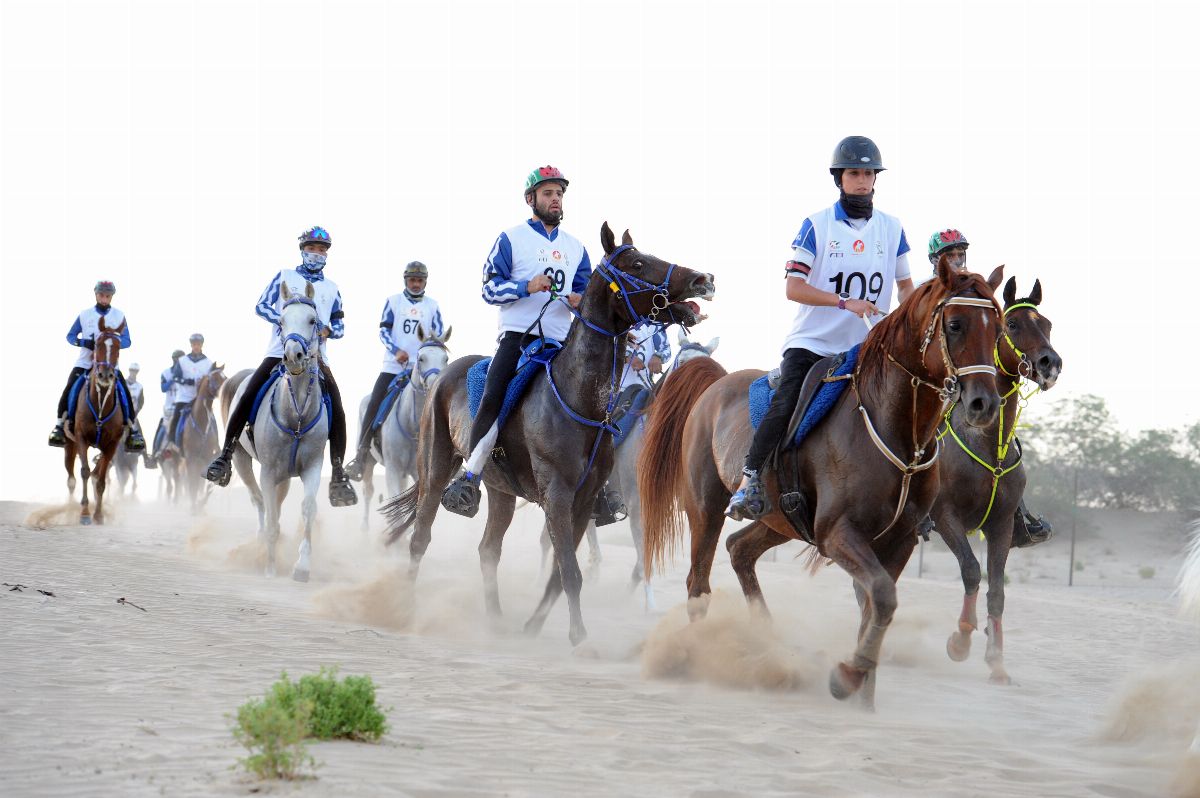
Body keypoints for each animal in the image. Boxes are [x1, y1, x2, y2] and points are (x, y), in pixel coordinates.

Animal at [63, 314, 126, 525]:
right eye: (97, 343)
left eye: (118, 346)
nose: (105, 374)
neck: (100, 406)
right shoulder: (81, 438)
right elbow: (84, 471)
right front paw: (84, 513)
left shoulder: (111, 445)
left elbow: (100, 479)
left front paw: (98, 514)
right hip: (70, 445)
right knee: (71, 478)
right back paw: (70, 509)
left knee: (96, 473)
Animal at [384, 220, 710, 643]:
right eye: (638, 263)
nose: (702, 279)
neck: (578, 399)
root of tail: (444, 375)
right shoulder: (556, 494)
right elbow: (570, 570)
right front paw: (580, 639)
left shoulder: (584, 500)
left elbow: (560, 573)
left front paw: (535, 625)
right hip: (435, 468)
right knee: (420, 537)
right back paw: (406, 606)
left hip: (502, 492)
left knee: (488, 550)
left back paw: (495, 619)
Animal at [638, 258, 1003, 705]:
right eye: (954, 324)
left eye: (998, 328)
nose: (984, 403)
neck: (894, 429)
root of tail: (714, 383)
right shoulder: (837, 533)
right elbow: (882, 597)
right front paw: (848, 675)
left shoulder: (899, 540)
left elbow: (876, 605)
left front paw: (864, 694)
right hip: (705, 508)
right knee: (699, 584)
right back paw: (696, 656)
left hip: (781, 521)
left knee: (740, 550)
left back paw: (768, 642)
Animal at [936, 273, 1060, 676]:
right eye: (1012, 325)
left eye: (1047, 324)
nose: (1051, 363)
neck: (987, 441)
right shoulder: (945, 516)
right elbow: (972, 570)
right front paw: (961, 639)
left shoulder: (1002, 525)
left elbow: (997, 591)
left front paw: (997, 661)